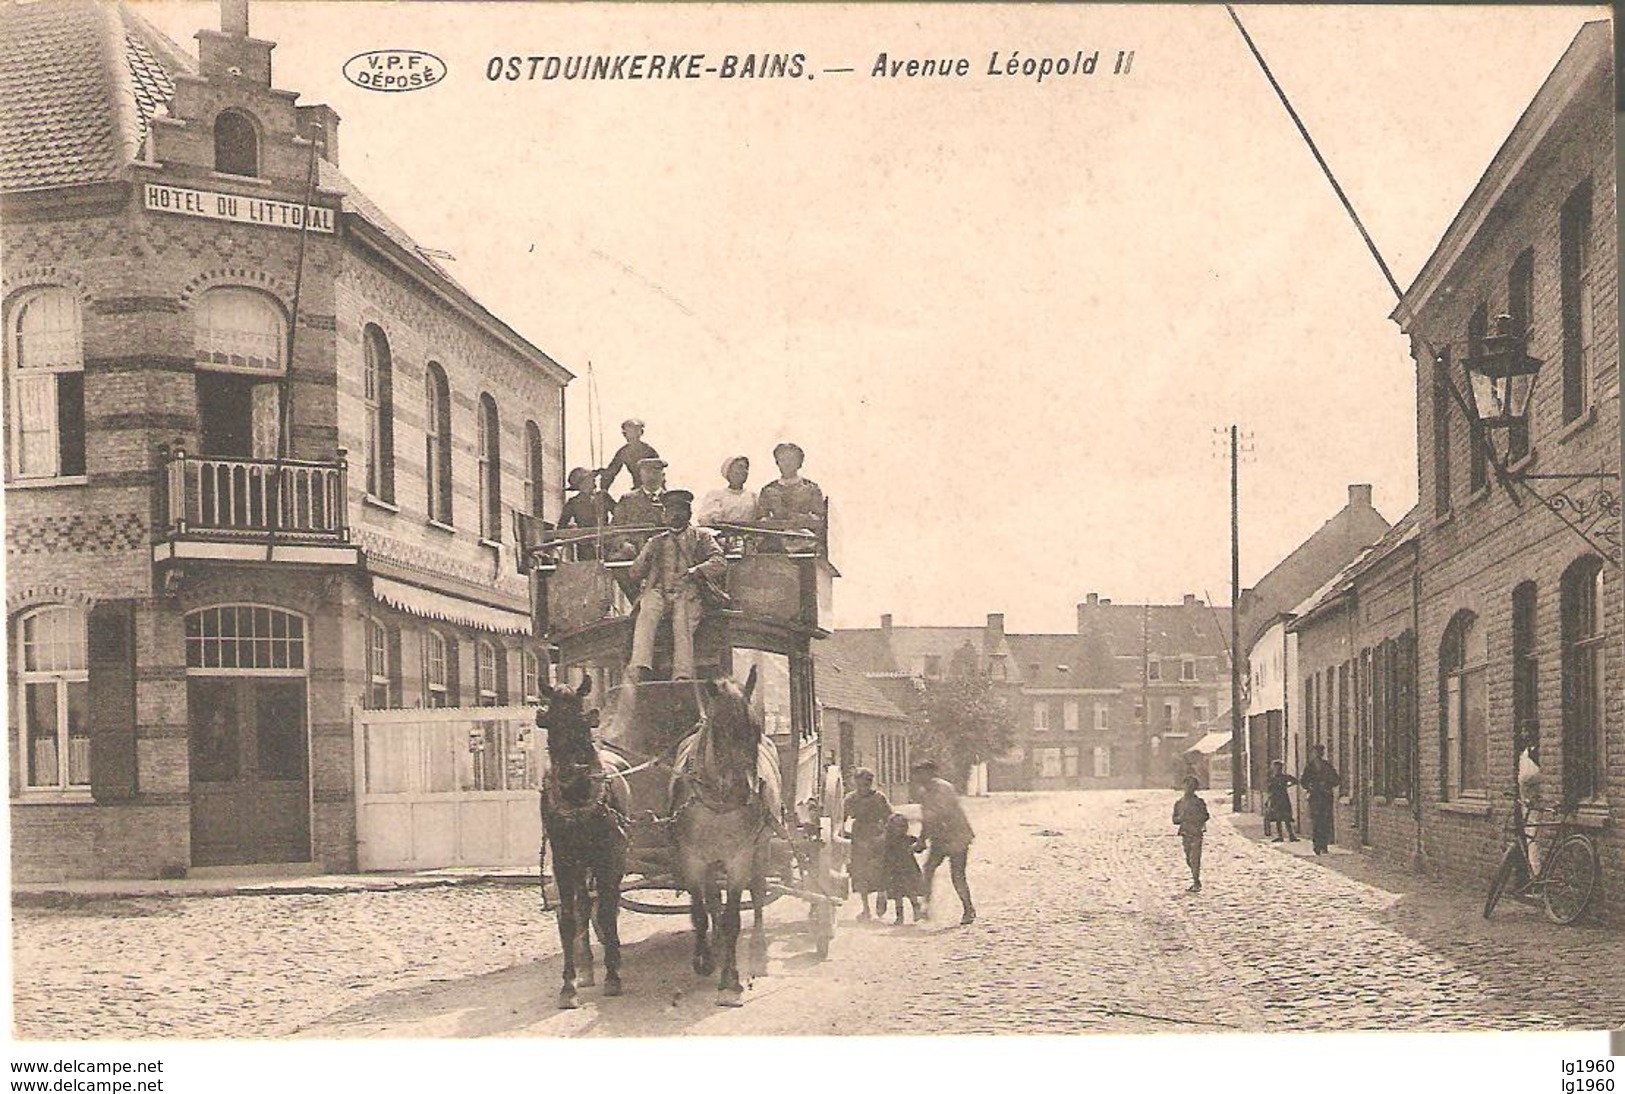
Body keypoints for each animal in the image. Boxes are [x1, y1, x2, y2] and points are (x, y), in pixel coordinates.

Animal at [539, 679, 627, 1014]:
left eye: (581, 723)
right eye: (549, 722)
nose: (566, 772)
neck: (577, 801)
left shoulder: (607, 858)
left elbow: (606, 914)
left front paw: (613, 976)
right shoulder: (564, 861)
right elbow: (568, 919)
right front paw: (569, 986)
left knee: (606, 905)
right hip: (580, 867)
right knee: (584, 905)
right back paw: (588, 968)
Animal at [666, 659, 780, 1001]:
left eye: (756, 729)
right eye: (718, 729)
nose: (747, 791)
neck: (718, 802)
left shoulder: (739, 858)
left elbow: (732, 917)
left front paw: (731, 975)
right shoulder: (692, 858)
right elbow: (701, 911)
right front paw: (704, 959)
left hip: (761, 848)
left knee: (758, 892)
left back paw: (757, 948)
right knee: (712, 901)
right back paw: (714, 948)